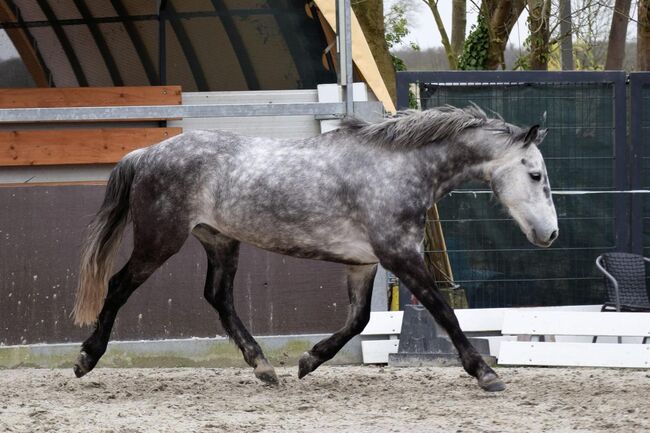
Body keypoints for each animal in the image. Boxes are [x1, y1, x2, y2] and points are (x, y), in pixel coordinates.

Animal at [72, 105, 556, 392]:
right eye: (535, 175)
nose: (549, 234)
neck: (397, 168)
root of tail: (146, 153)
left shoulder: (365, 263)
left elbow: (358, 321)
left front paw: (308, 361)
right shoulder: (400, 255)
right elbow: (443, 312)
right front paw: (486, 373)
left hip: (220, 240)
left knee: (219, 297)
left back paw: (265, 368)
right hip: (160, 240)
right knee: (118, 286)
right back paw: (86, 359)